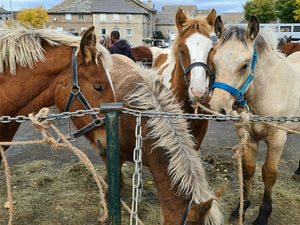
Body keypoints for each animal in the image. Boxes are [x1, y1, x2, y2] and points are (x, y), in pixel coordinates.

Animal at [209, 14, 300, 224]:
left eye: (244, 65)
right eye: (214, 62)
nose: (218, 109)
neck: (268, 91)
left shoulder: (277, 140)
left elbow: (269, 173)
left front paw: (263, 214)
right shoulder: (248, 137)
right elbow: (249, 169)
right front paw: (242, 208)